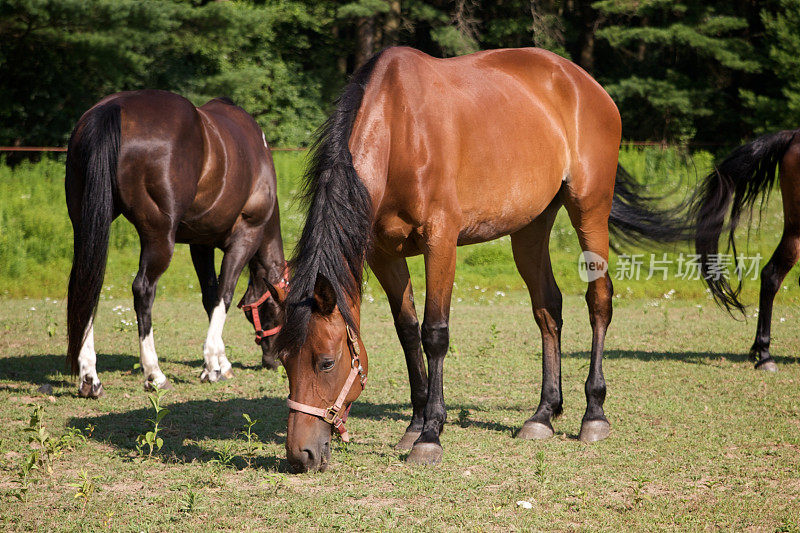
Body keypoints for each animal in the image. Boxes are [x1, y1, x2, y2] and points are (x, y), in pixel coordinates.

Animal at [67, 89, 288, 396]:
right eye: (282, 310)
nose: (274, 360)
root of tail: (112, 108)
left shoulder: (201, 244)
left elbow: (210, 297)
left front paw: (221, 363)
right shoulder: (245, 236)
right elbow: (224, 295)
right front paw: (211, 365)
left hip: (86, 225)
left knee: (87, 286)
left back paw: (90, 377)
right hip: (159, 236)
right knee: (143, 290)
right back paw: (155, 374)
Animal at [274, 47, 680, 472]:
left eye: (326, 362)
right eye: (283, 361)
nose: (301, 455)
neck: (400, 128)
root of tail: (585, 84)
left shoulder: (441, 242)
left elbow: (434, 334)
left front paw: (430, 435)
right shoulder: (383, 252)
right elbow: (407, 332)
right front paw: (414, 425)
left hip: (590, 211)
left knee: (598, 300)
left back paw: (594, 414)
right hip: (530, 227)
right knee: (548, 309)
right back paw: (543, 415)